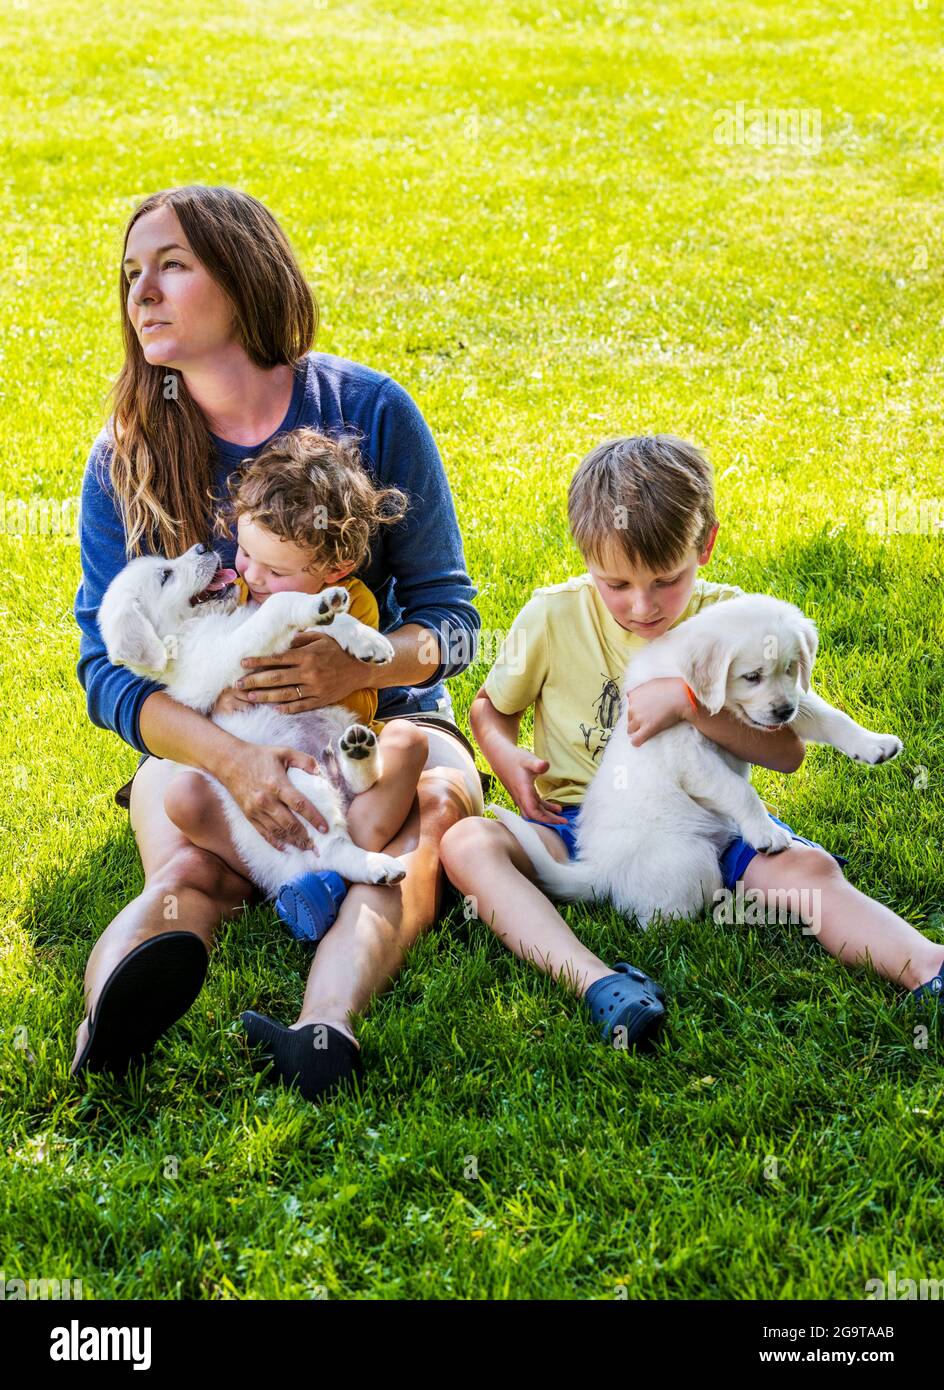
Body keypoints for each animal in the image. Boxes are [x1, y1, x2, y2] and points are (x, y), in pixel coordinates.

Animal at [98, 536, 408, 906]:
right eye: (165, 575)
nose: (202, 547)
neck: (192, 632)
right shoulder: (224, 659)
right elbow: (276, 604)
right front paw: (320, 606)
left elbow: (317, 621)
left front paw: (360, 634)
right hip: (298, 784)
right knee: (329, 849)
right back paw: (376, 866)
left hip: (335, 730)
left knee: (360, 784)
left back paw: (358, 751)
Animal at [492, 592, 906, 928]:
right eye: (751, 676)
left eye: (791, 668)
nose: (783, 711)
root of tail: (600, 871)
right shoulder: (688, 756)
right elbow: (739, 790)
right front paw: (766, 833)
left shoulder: (791, 704)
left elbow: (831, 716)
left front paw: (874, 744)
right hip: (689, 859)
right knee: (667, 919)